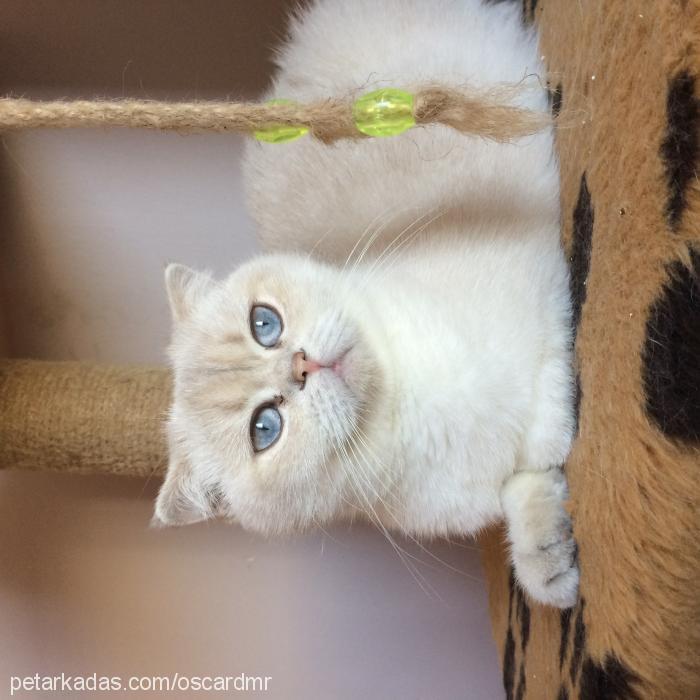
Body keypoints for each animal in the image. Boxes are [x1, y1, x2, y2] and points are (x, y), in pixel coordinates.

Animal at [154, 0, 580, 608]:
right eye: (265, 428)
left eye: (264, 323)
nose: (303, 364)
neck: (407, 401)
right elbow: (520, 484)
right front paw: (548, 565)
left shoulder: (536, 288)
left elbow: (548, 408)